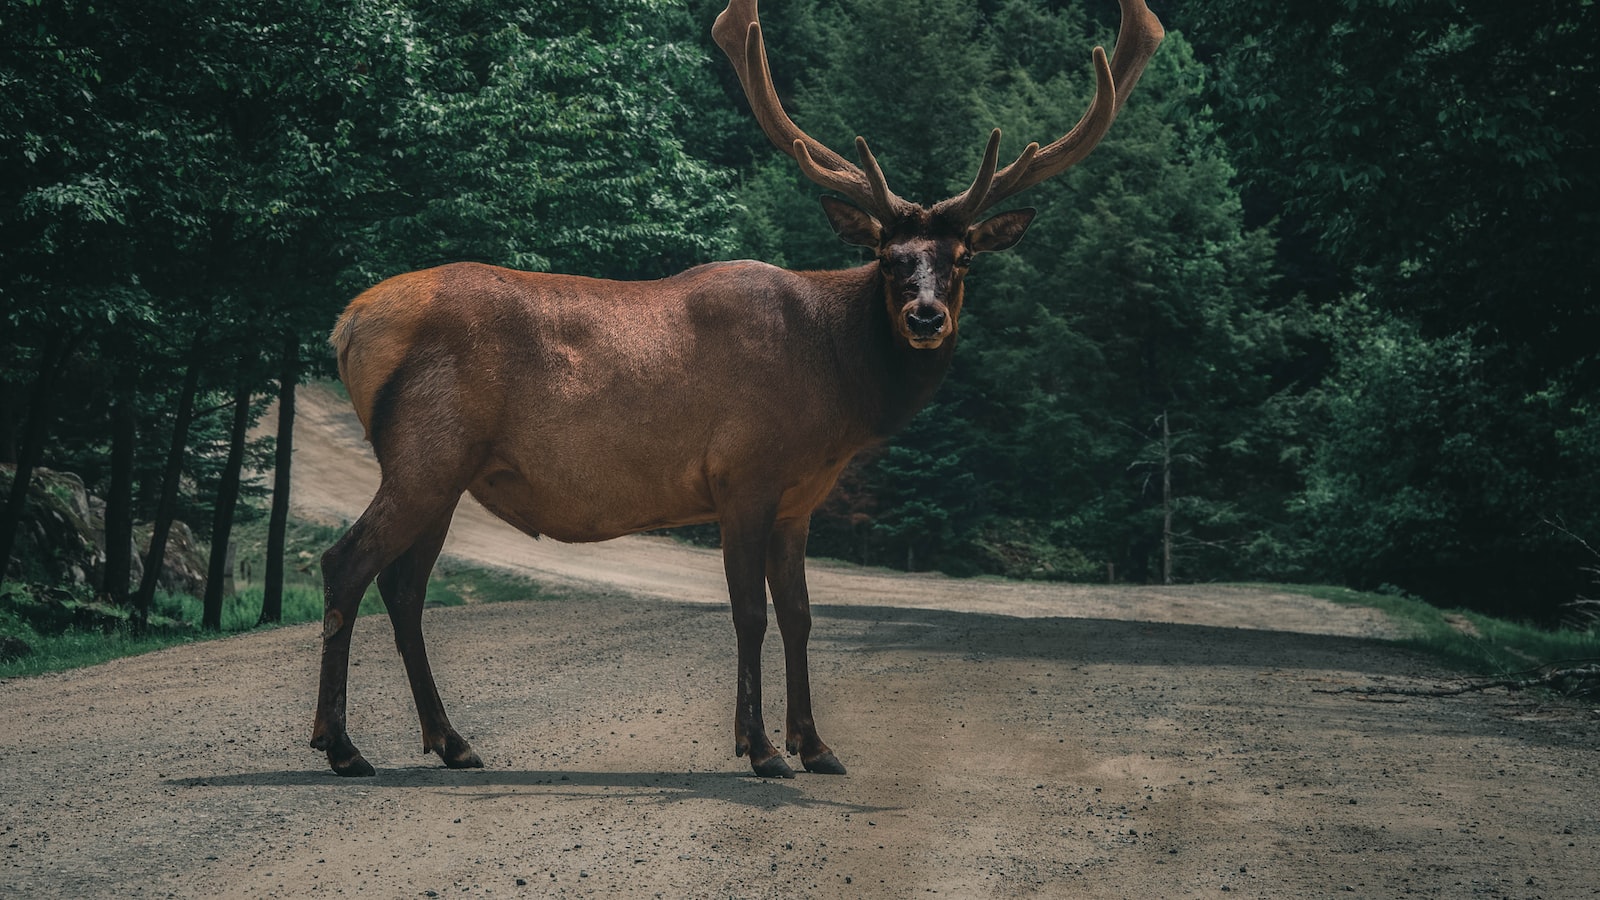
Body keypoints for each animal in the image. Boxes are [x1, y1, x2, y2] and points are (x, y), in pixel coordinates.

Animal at [312, 0, 1164, 775]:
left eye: (960, 260)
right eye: (890, 258)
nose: (925, 315)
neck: (836, 390)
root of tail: (347, 325)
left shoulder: (799, 500)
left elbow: (801, 615)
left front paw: (817, 745)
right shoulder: (741, 475)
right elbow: (749, 614)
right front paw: (760, 749)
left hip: (446, 469)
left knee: (405, 586)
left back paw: (451, 741)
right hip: (427, 451)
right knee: (346, 562)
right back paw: (342, 745)